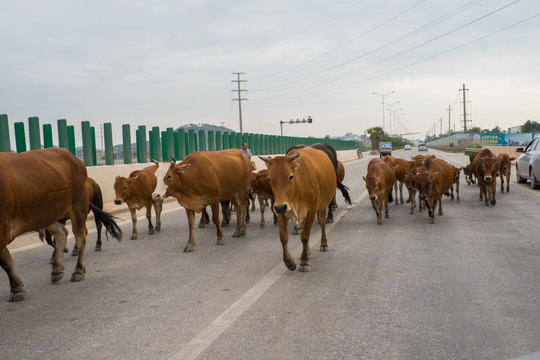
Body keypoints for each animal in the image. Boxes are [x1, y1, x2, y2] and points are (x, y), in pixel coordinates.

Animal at [0, 148, 121, 302]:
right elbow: (6, 260)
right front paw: (17, 288)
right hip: (50, 215)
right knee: (63, 233)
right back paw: (58, 267)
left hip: (79, 207)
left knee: (83, 235)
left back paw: (79, 269)